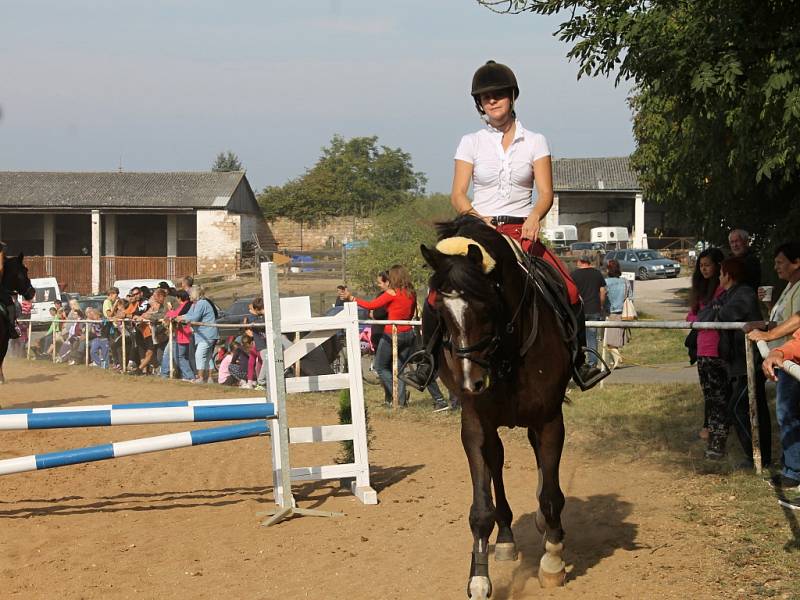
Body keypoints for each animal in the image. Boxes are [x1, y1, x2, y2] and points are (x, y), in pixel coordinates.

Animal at [418, 217, 576, 600]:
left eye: (487, 306)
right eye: (440, 312)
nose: (470, 383)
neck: (506, 352)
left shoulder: (550, 419)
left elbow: (551, 495)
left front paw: (552, 560)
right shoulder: (475, 425)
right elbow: (480, 510)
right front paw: (478, 578)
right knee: (497, 463)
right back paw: (505, 537)